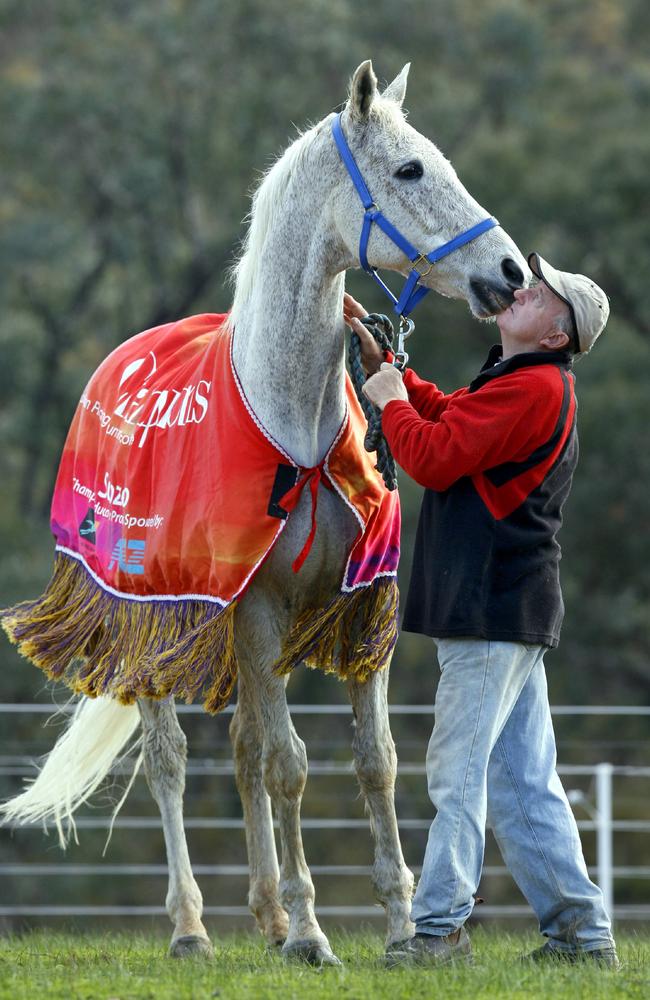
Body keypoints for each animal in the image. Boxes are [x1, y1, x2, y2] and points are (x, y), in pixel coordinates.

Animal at [1, 60, 528, 960]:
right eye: (410, 170)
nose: (511, 272)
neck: (293, 424)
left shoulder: (361, 605)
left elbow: (375, 760)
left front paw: (394, 925)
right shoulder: (255, 611)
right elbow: (289, 764)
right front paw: (314, 933)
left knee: (242, 747)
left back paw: (266, 912)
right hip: (154, 623)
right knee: (172, 758)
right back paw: (192, 927)